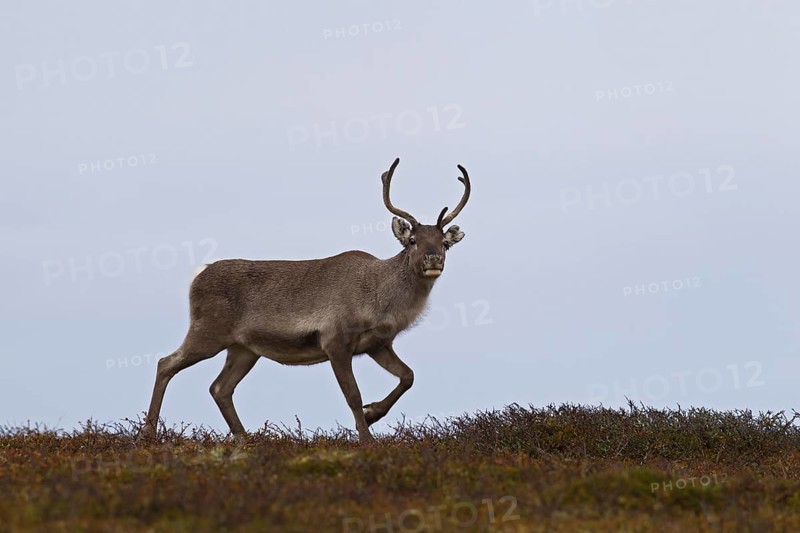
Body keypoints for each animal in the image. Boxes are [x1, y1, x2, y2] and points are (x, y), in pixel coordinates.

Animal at [139, 158, 471, 442]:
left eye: (444, 243)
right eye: (412, 240)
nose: (433, 259)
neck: (378, 301)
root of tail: (197, 275)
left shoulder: (377, 344)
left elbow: (408, 376)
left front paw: (374, 414)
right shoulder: (335, 340)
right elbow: (353, 396)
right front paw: (367, 439)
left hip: (244, 348)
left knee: (220, 387)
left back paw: (246, 440)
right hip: (207, 331)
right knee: (166, 363)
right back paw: (149, 434)